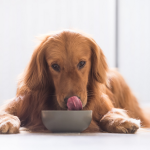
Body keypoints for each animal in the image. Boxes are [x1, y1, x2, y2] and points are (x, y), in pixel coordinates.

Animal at [0, 29, 150, 134]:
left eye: (82, 63)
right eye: (55, 66)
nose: (70, 100)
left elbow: (111, 113)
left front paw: (122, 121)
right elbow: (6, 113)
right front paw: (7, 121)